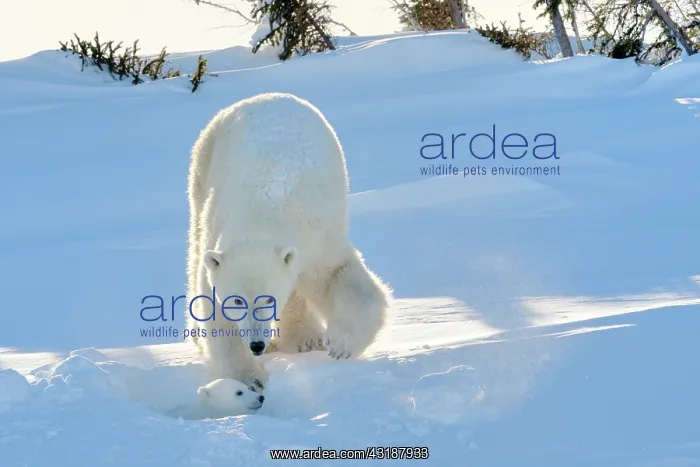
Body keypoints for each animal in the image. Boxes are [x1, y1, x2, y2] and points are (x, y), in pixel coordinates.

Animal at [185, 92, 392, 390]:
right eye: (237, 301)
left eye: (268, 299)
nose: (257, 345)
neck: (262, 216)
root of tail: (262, 97)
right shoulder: (219, 244)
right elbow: (216, 313)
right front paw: (248, 380)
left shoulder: (316, 241)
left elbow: (341, 276)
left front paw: (340, 345)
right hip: (203, 167)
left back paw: (306, 339)